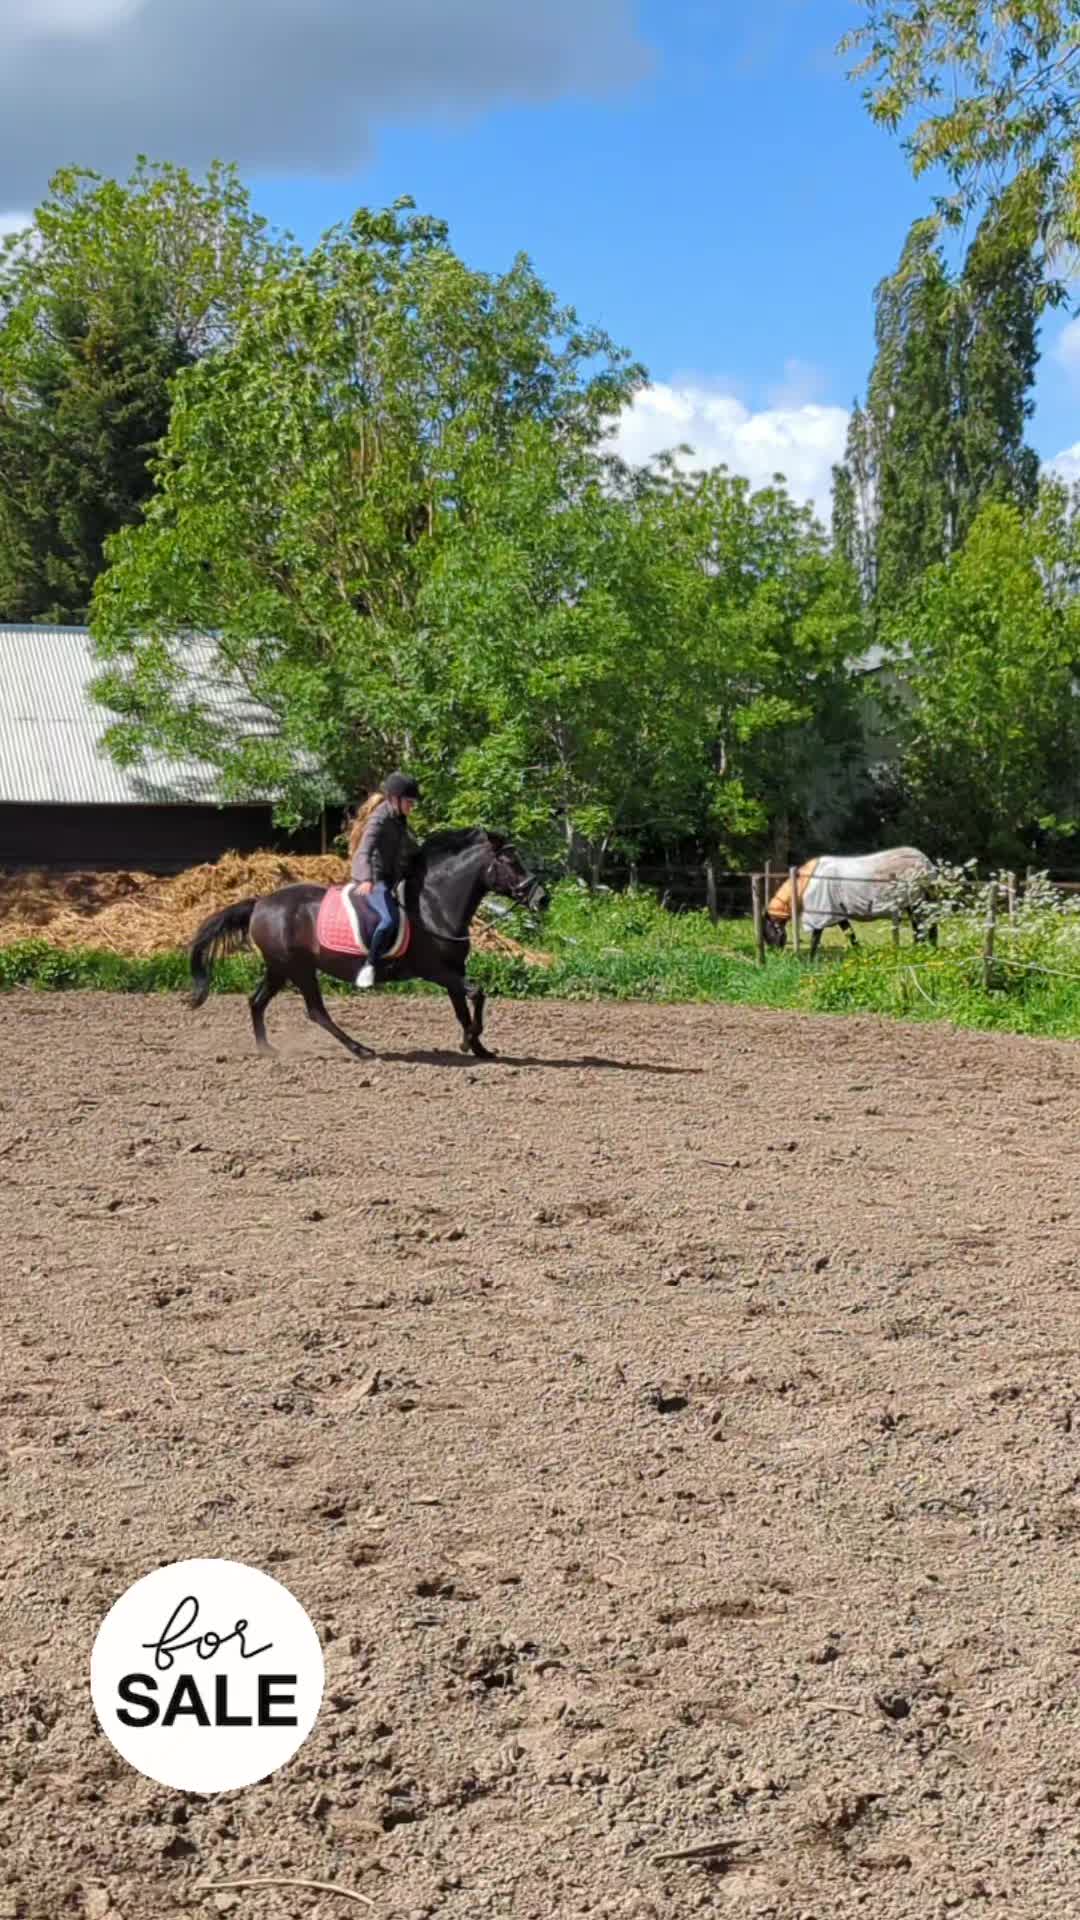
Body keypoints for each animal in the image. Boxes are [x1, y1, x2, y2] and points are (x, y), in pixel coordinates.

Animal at [188, 828, 548, 1060]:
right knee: (316, 1012)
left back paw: (267, 1050)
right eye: (511, 862)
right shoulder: (434, 970)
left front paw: (478, 1048)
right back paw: (361, 1050)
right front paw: (469, 1042)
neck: (433, 904)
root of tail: (260, 902)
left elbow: (463, 1006)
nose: (543, 898)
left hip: (279, 968)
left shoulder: (453, 969)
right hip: (299, 969)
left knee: (257, 1001)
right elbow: (477, 993)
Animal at [762, 846, 937, 960]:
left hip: (916, 902)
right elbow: (850, 935)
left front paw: (810, 960)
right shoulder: (838, 914)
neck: (806, 883)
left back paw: (920, 951)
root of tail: (925, 861)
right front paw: (861, 955)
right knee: (923, 926)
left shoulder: (822, 915)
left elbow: (815, 939)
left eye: (768, 934)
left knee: (922, 927)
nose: (774, 956)